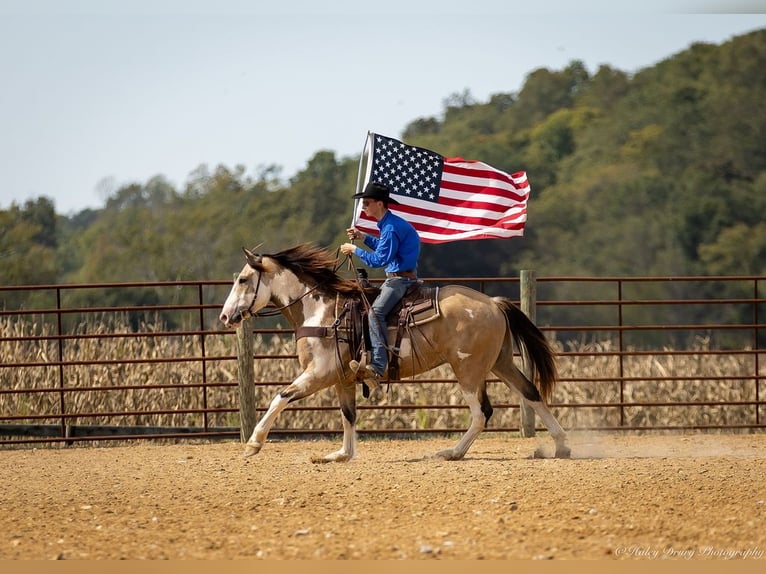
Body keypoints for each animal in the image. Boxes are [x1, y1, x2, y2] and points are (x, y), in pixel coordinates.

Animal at [219, 243, 572, 464]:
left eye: (243, 279)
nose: (224, 316)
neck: (320, 311)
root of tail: (494, 303)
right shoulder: (342, 379)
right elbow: (348, 415)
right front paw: (341, 455)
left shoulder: (318, 374)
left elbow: (281, 397)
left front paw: (253, 443)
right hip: (500, 363)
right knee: (531, 393)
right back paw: (561, 445)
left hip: (468, 371)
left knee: (481, 413)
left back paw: (452, 453)